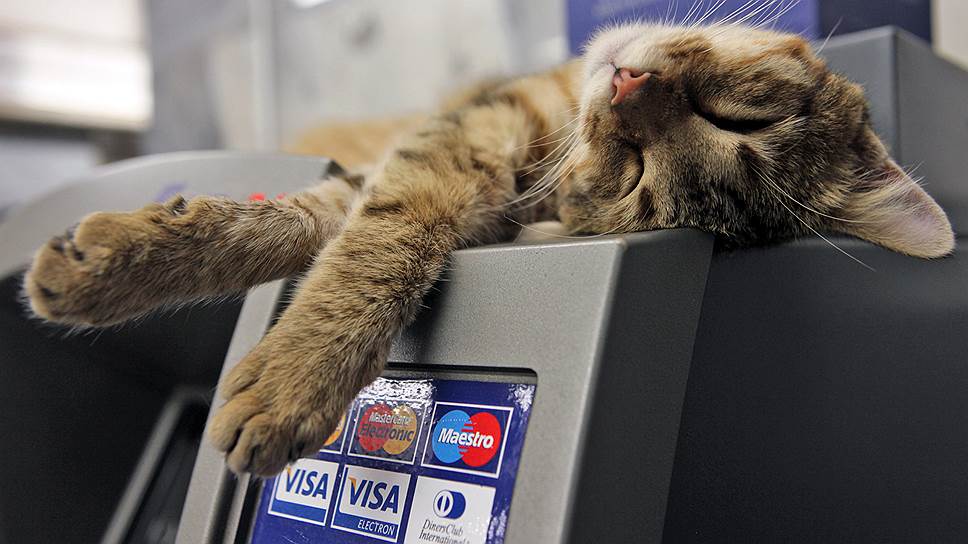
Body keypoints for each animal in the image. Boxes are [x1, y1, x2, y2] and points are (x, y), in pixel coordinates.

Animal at [23, 22, 953, 477]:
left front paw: (292, 379)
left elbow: (367, 238)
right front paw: (116, 262)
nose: (629, 84)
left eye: (635, 174)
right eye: (739, 116)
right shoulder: (460, 135)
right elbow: (321, 223)